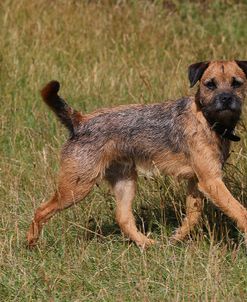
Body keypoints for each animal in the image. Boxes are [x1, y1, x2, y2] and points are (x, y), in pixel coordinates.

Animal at [26, 60, 247, 248]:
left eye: (236, 83)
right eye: (210, 84)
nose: (226, 98)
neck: (207, 120)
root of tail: (80, 122)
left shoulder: (198, 181)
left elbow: (193, 215)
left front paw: (176, 238)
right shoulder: (211, 181)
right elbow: (240, 211)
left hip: (125, 182)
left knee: (123, 218)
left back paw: (147, 244)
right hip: (76, 187)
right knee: (41, 210)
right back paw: (31, 243)